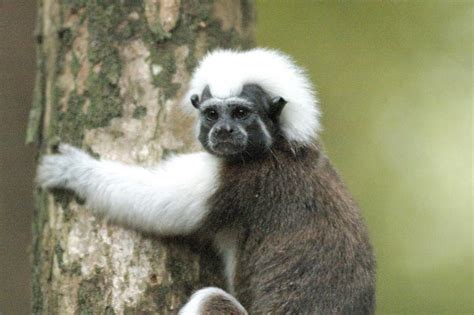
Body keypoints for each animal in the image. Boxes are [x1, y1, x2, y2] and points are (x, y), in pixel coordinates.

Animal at [38, 48, 374, 314]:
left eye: (240, 112)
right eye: (212, 114)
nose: (224, 131)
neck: (278, 145)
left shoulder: (242, 180)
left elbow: (156, 203)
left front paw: (76, 171)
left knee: (210, 299)